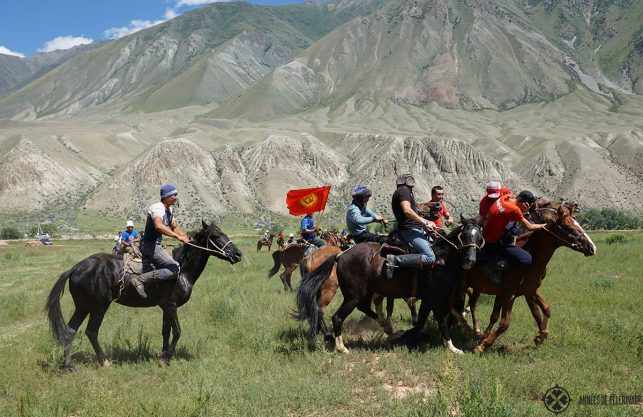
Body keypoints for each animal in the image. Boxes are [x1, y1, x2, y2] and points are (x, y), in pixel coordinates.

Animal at [44, 219, 242, 368]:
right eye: (215, 236)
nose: (238, 254)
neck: (181, 269)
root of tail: (76, 267)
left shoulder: (166, 307)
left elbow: (166, 332)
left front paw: (164, 356)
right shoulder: (170, 306)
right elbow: (177, 332)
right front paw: (165, 358)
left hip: (83, 306)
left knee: (70, 331)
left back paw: (69, 365)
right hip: (99, 307)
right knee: (91, 331)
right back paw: (104, 361)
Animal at [462, 200, 600, 352]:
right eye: (569, 227)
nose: (592, 248)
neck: (531, 257)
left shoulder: (531, 291)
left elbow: (543, 311)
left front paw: (541, 336)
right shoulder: (509, 294)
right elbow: (504, 323)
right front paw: (483, 345)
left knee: (471, 304)